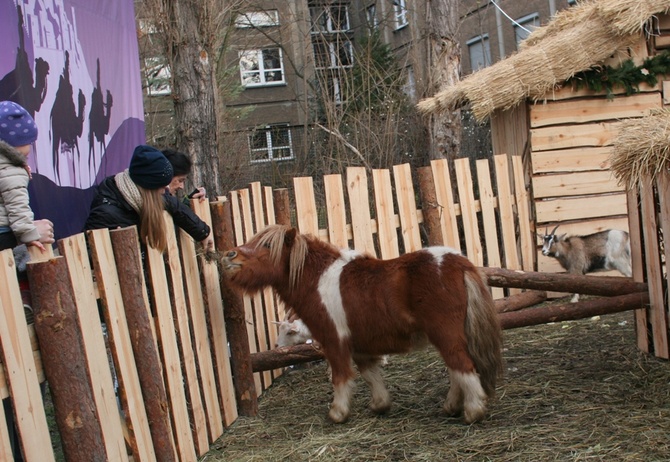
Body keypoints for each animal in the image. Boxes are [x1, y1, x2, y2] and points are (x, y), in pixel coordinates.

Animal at [220, 226, 504, 424]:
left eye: (267, 245)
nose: (229, 255)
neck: (317, 280)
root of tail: (460, 263)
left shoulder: (333, 342)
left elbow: (341, 377)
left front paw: (337, 413)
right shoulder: (361, 345)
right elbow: (370, 374)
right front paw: (380, 405)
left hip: (445, 334)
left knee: (463, 367)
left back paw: (473, 411)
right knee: (457, 371)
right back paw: (452, 407)